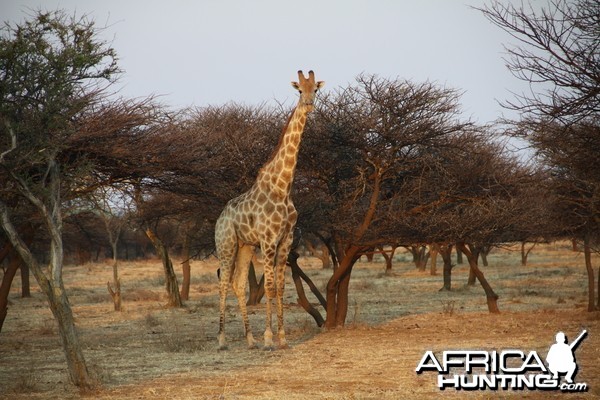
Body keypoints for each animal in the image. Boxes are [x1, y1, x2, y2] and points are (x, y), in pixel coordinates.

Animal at [213, 70, 322, 348]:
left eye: (315, 89)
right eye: (299, 90)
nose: (309, 105)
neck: (282, 187)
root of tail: (220, 218)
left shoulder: (286, 239)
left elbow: (281, 287)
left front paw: (281, 338)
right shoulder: (269, 240)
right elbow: (271, 287)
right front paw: (269, 338)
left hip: (245, 246)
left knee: (239, 283)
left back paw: (249, 339)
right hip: (226, 244)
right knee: (223, 283)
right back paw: (222, 339)